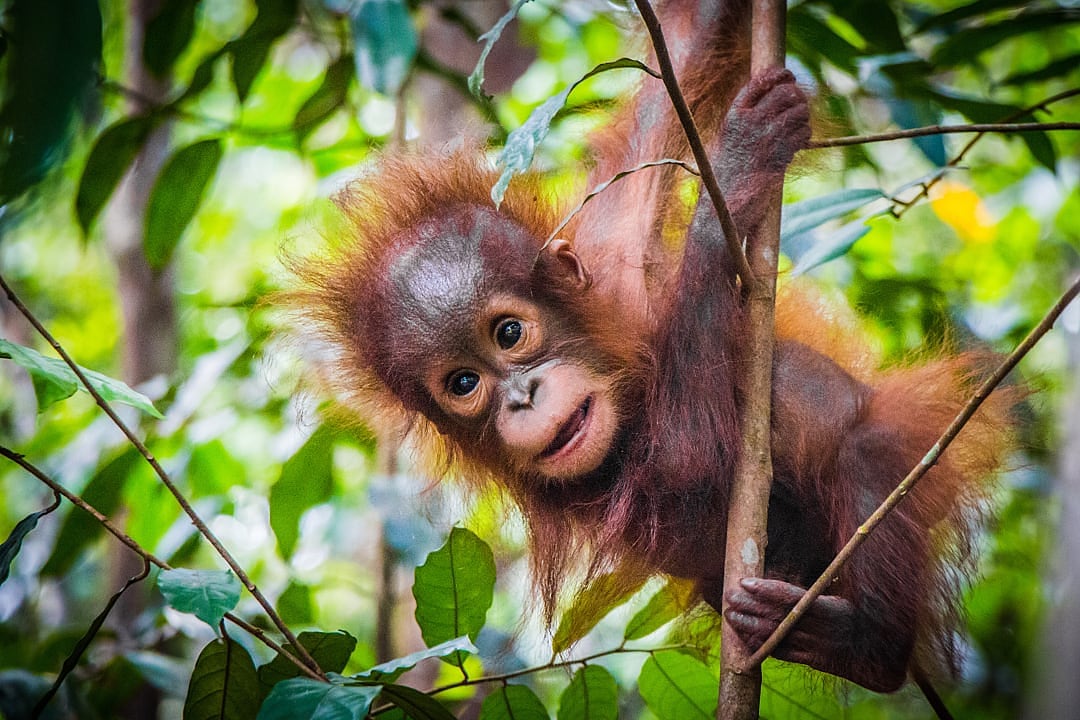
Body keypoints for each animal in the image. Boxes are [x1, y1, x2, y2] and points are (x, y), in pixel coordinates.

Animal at [283, 0, 1014, 694]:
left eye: (510, 333)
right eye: (464, 383)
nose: (522, 397)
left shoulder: (613, 238)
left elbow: (687, 55)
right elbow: (688, 466)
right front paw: (730, 186)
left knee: (865, 442)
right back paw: (860, 645)